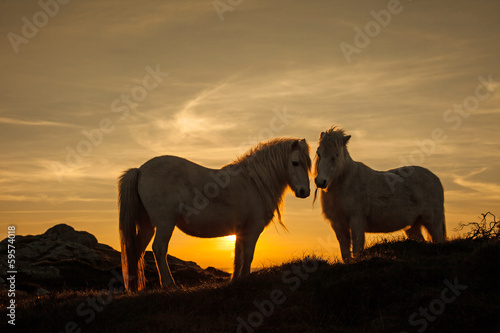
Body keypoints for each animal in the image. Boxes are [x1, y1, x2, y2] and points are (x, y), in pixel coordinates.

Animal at [118, 136, 310, 290]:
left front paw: (236, 280)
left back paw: (135, 288)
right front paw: (245, 280)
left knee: (136, 249)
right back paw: (169, 284)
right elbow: (248, 255)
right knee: (159, 249)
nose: (304, 192)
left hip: (147, 225)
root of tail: (140, 170)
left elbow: (238, 256)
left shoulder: (240, 231)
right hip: (165, 224)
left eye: (308, 164)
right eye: (295, 163)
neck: (254, 183)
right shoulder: (252, 230)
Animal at [316, 126, 446, 260]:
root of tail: (435, 178)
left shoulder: (356, 221)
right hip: (413, 226)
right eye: (318, 153)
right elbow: (345, 253)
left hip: (433, 223)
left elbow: (357, 248)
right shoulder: (338, 224)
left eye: (336, 155)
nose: (320, 181)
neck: (346, 183)